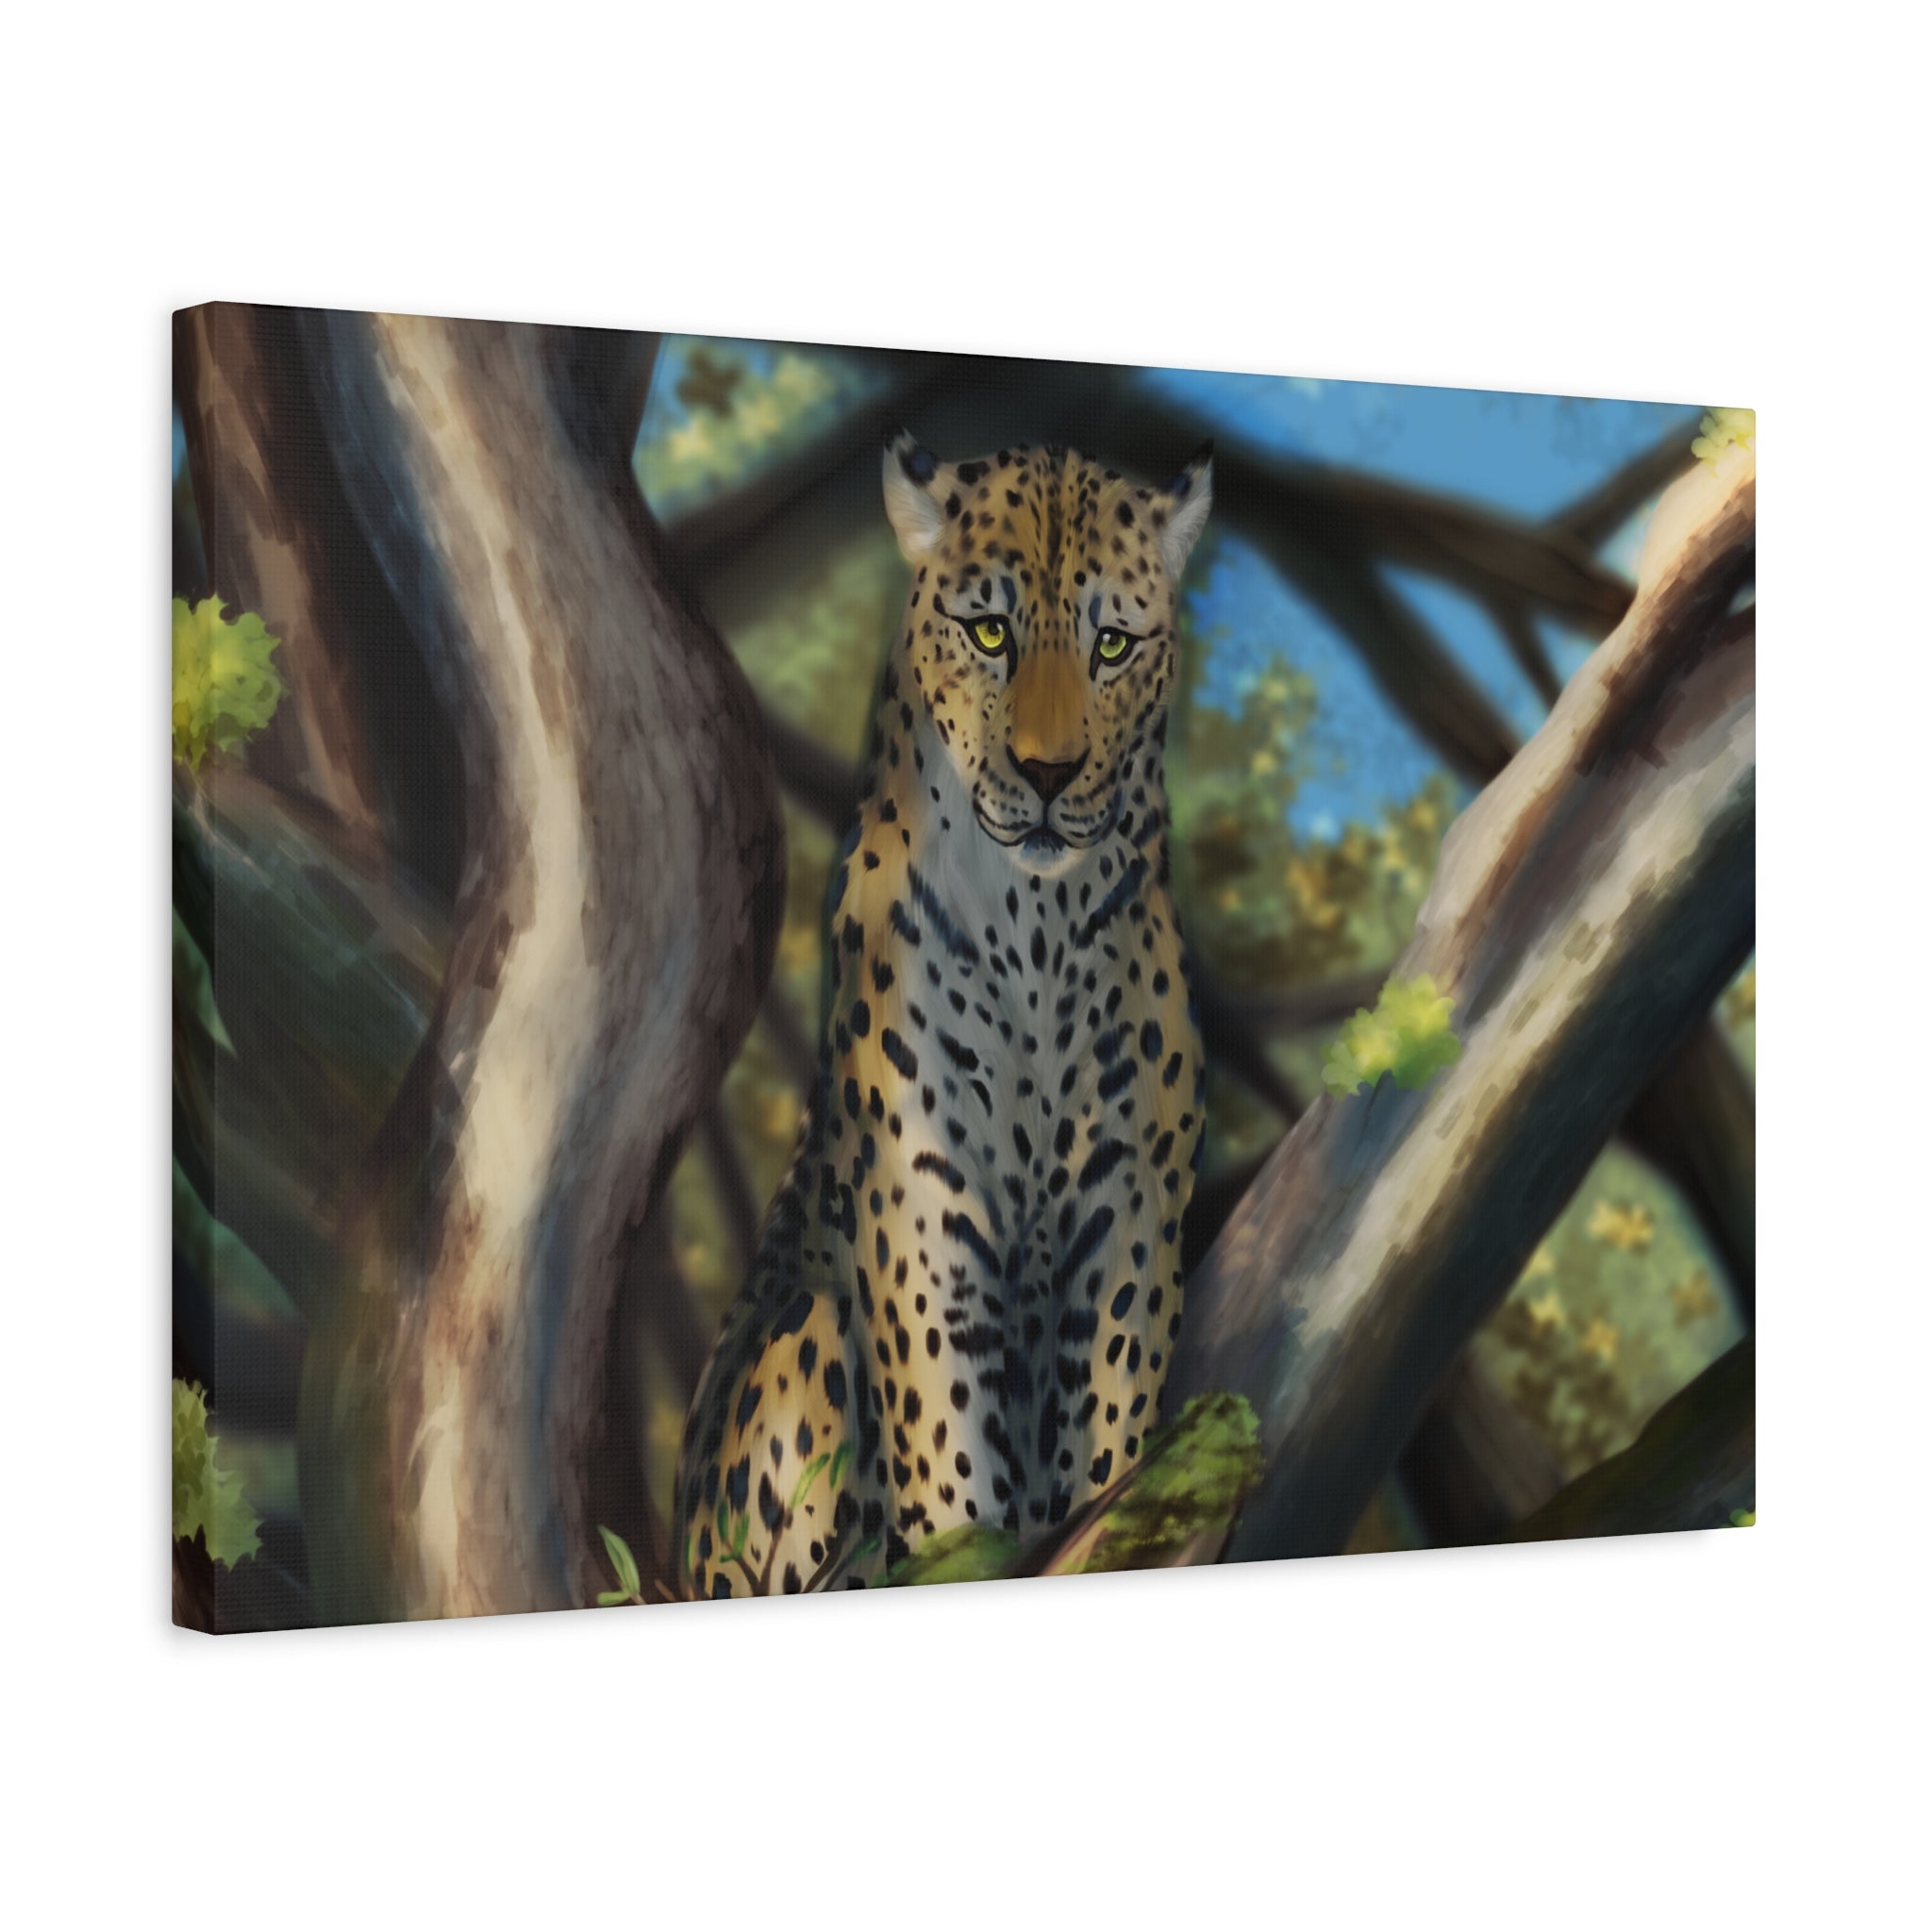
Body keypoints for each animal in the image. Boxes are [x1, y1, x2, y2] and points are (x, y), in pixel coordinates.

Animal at [671, 427, 1213, 1599]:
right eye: (989, 630)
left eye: (1111, 644)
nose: (1048, 773)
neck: (1035, 928)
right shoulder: (923, 1200)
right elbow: (948, 1444)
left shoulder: (1130, 1200)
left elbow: (1108, 1420)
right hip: (801, 1346)